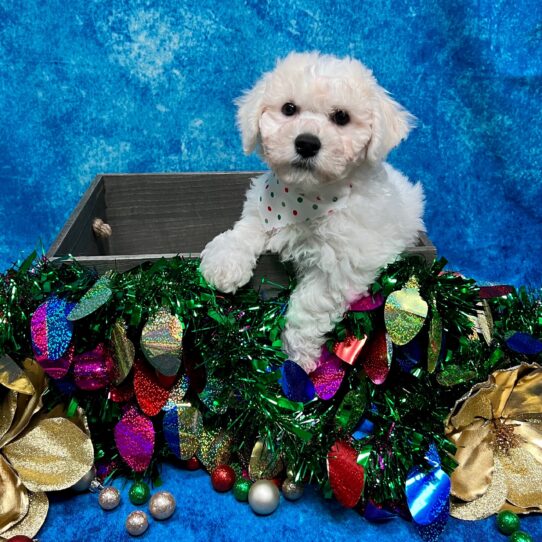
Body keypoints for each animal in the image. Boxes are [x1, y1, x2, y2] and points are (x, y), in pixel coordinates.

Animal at [202, 52, 428, 374]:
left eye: (342, 117)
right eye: (289, 109)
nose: (307, 143)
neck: (305, 196)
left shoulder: (343, 267)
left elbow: (309, 306)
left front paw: (295, 357)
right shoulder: (262, 210)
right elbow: (244, 232)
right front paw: (224, 263)